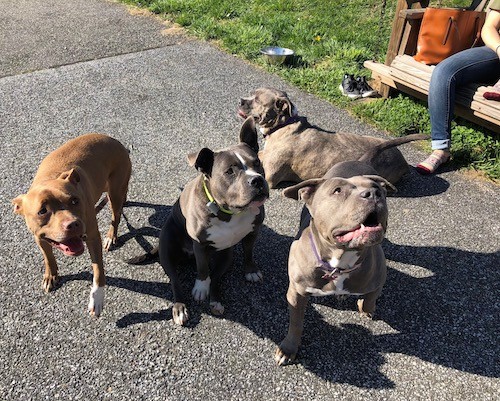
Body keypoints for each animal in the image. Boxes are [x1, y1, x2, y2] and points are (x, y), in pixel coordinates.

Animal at [13, 134, 131, 316]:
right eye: (42, 211)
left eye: (75, 200)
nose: (74, 224)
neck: (49, 178)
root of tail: (117, 142)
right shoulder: (39, 237)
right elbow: (48, 257)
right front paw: (51, 275)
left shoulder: (92, 236)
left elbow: (98, 270)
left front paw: (97, 298)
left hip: (115, 190)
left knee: (116, 215)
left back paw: (111, 236)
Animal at [159, 116, 270, 324]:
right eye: (229, 172)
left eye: (258, 162)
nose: (258, 180)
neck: (230, 212)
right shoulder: (199, 244)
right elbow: (203, 269)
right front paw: (200, 287)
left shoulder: (253, 230)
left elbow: (248, 251)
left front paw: (250, 270)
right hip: (166, 251)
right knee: (175, 280)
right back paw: (180, 308)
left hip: (226, 255)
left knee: (217, 277)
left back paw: (216, 302)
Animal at [238, 86, 426, 187]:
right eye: (252, 94)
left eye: (257, 100)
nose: (240, 100)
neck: (283, 124)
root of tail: (402, 160)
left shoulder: (269, 175)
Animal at [274, 135, 430, 366]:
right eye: (337, 191)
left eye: (378, 189)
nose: (373, 193)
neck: (339, 261)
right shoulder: (296, 292)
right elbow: (296, 323)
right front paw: (288, 348)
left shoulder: (379, 277)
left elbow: (370, 298)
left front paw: (365, 307)